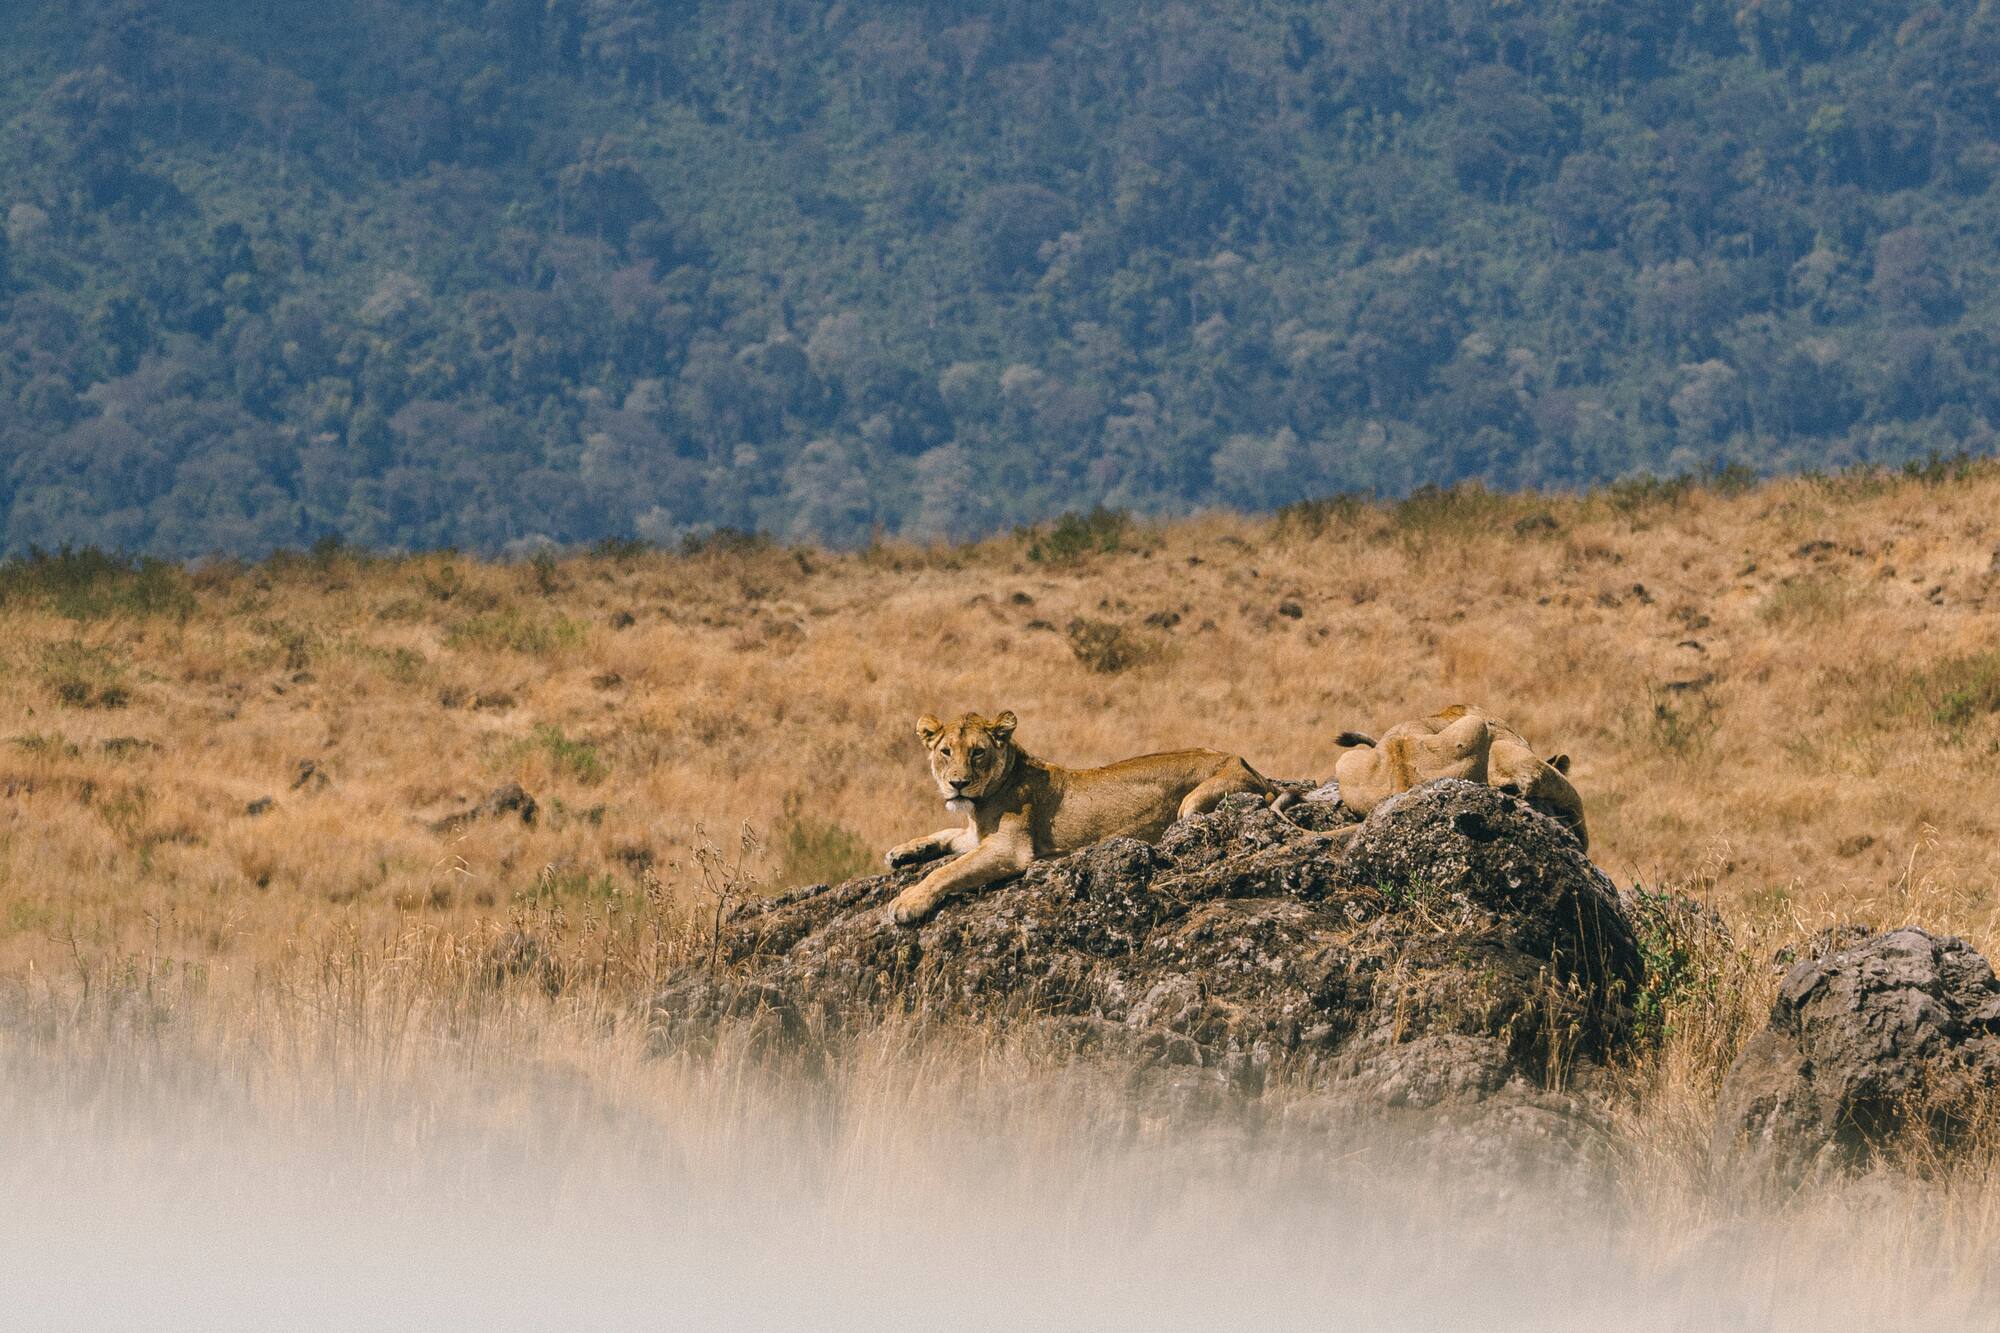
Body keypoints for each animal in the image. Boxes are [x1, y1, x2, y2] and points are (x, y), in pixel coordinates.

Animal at [884, 710, 1290, 926]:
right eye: (946, 752)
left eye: (978, 752)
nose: (957, 784)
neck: (981, 801)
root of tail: (1248, 765)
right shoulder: (976, 835)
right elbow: (945, 834)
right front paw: (901, 851)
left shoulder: (1009, 847)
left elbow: (947, 870)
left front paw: (907, 901)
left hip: (1194, 802)